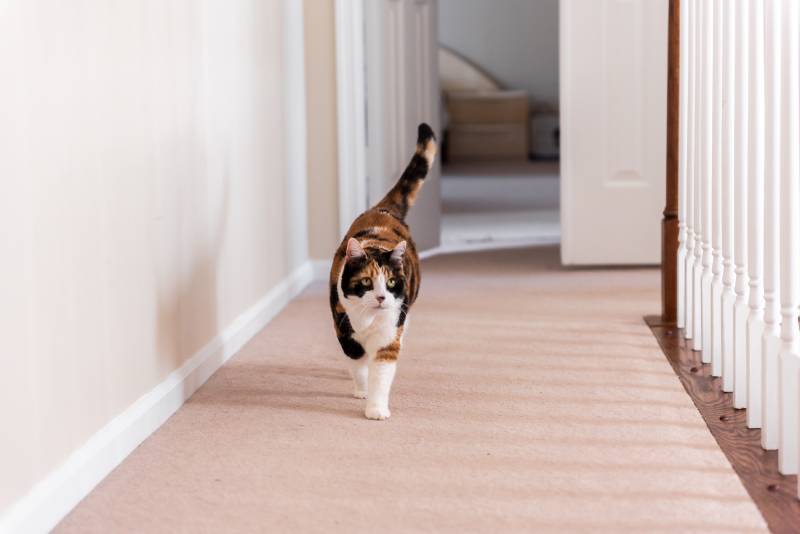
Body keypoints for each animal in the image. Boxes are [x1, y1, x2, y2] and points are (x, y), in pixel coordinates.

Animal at [328, 123, 438, 420]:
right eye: (366, 281)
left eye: (390, 282)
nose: (380, 298)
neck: (368, 320)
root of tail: (383, 209)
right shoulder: (343, 325)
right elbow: (357, 360)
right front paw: (362, 389)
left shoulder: (390, 334)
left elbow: (382, 372)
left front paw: (376, 409)